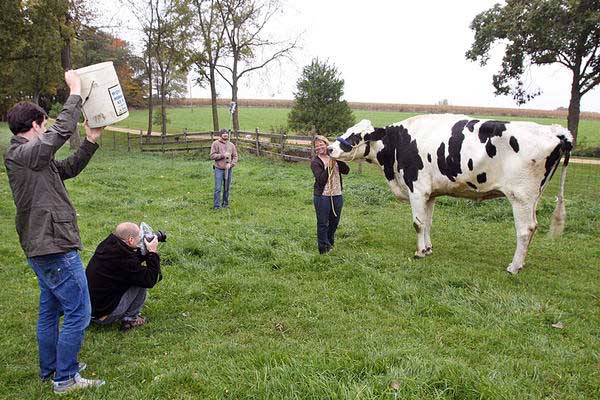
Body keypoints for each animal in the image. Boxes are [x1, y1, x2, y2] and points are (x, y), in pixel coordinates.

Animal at [328, 114, 572, 274]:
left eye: (356, 135)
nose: (330, 148)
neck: (397, 143)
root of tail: (555, 131)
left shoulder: (417, 189)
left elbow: (418, 223)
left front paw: (419, 252)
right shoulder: (430, 193)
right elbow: (427, 223)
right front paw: (427, 249)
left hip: (521, 196)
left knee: (525, 229)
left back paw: (513, 267)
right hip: (533, 197)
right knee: (533, 227)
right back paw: (521, 263)